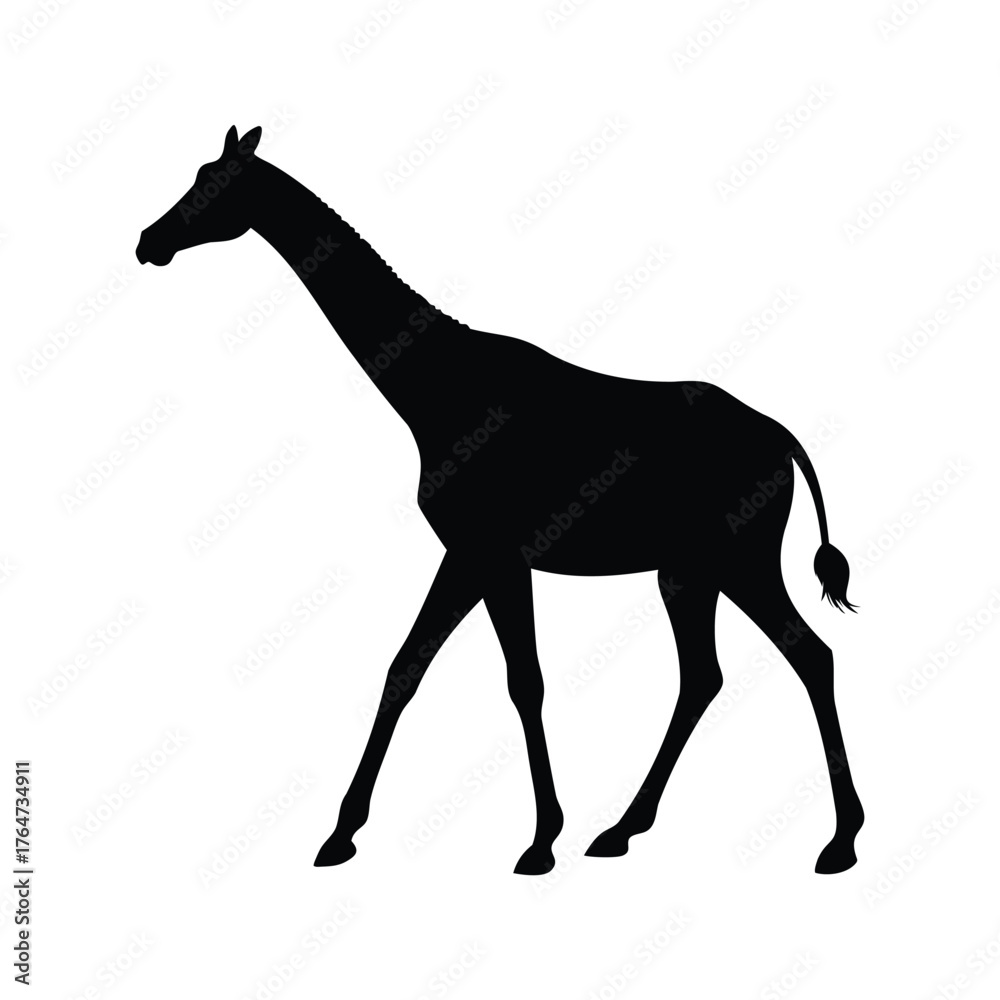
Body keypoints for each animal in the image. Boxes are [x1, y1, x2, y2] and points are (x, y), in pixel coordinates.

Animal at [136, 126, 865, 876]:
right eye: (197, 173)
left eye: (214, 182)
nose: (147, 241)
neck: (433, 390)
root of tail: (782, 439)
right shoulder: (468, 553)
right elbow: (406, 668)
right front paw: (342, 834)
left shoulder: (498, 554)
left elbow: (524, 681)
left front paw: (541, 840)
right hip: (687, 571)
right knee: (705, 677)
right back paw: (622, 830)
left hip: (741, 559)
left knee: (809, 657)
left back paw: (839, 841)